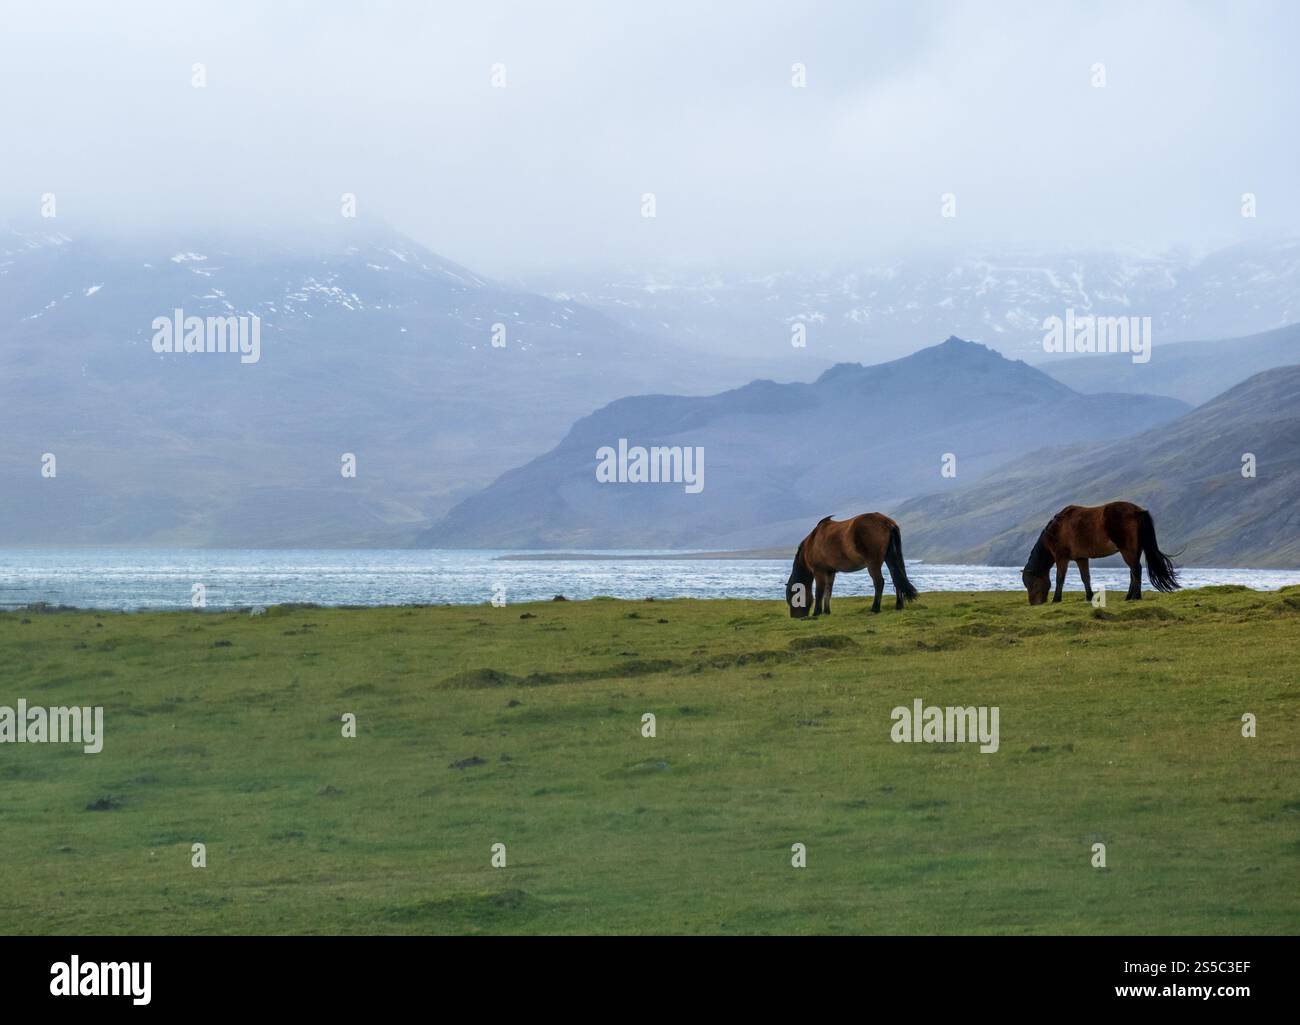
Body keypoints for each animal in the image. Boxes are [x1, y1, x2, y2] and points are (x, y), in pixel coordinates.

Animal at [786, 513, 919, 617]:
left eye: (793, 598)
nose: (796, 617)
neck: (812, 542)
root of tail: (888, 523)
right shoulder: (830, 572)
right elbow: (828, 591)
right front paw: (826, 611)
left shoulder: (819, 571)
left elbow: (819, 591)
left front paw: (816, 612)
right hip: (890, 558)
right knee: (896, 578)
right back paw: (898, 605)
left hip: (873, 563)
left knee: (879, 582)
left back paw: (875, 608)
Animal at [1021, 501, 1180, 605]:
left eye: (1032, 584)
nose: (1034, 603)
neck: (1057, 530)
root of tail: (1137, 511)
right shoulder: (1081, 558)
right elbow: (1085, 578)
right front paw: (1089, 596)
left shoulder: (1062, 558)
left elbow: (1060, 578)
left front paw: (1056, 599)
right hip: (1135, 550)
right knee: (1133, 572)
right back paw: (1128, 596)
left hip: (1127, 550)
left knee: (1136, 570)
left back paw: (1136, 596)